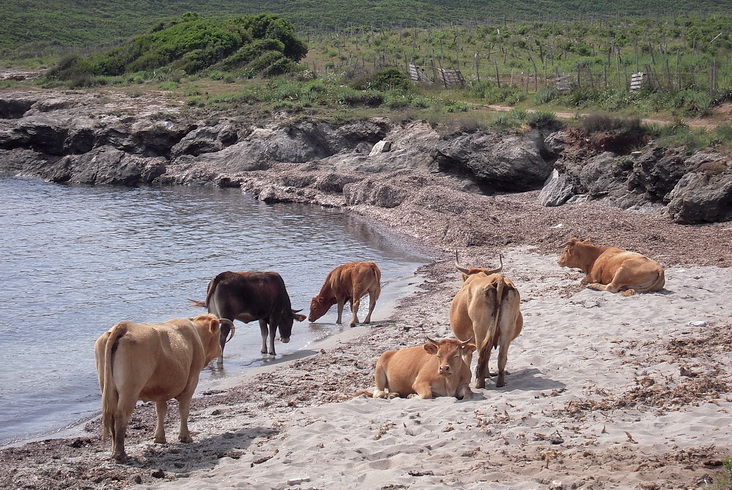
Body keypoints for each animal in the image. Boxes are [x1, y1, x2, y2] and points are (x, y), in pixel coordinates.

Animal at [94, 314, 226, 464]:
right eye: (219, 334)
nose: (220, 348)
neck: (196, 332)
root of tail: (124, 325)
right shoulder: (192, 380)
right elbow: (184, 410)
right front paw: (185, 437)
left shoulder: (160, 389)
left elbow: (160, 410)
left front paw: (159, 438)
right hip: (130, 390)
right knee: (121, 414)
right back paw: (120, 455)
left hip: (108, 387)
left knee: (111, 415)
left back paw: (114, 452)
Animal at [448, 255, 524, 388]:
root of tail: (498, 278)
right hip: (507, 329)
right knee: (501, 356)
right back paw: (500, 381)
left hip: (481, 329)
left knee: (483, 353)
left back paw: (480, 382)